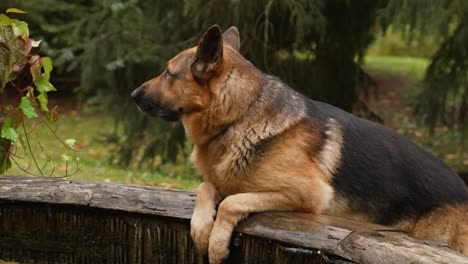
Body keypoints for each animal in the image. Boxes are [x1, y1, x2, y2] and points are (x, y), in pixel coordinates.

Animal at [131, 24, 468, 262]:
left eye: (168, 73)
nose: (133, 94)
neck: (241, 114)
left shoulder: (305, 193)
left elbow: (231, 202)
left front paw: (216, 244)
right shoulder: (224, 180)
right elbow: (206, 187)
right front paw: (202, 230)